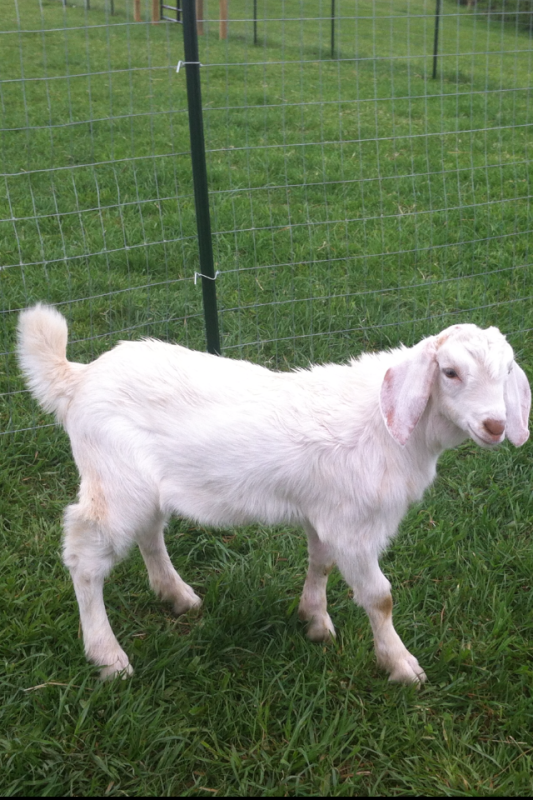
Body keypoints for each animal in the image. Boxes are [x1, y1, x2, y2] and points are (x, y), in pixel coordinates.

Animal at [17, 304, 531, 682]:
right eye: (449, 372)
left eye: (508, 370)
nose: (495, 425)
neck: (388, 428)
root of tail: (78, 378)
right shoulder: (354, 527)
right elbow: (379, 596)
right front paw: (401, 665)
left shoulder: (326, 512)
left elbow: (320, 563)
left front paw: (315, 621)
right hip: (113, 480)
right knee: (85, 556)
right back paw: (108, 656)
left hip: (142, 487)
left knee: (148, 532)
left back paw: (177, 595)